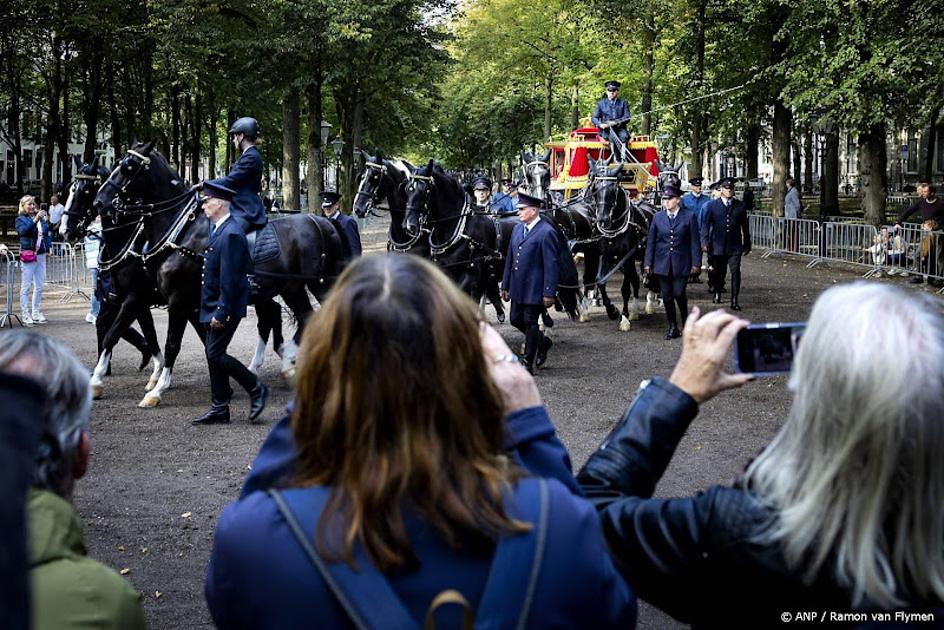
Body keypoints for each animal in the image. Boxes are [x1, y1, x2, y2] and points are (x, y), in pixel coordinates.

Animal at [89, 142, 342, 410]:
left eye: (129, 166)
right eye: (116, 163)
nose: (100, 201)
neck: (179, 232)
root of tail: (320, 221)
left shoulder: (174, 300)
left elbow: (171, 344)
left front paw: (157, 390)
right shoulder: (155, 299)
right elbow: (114, 334)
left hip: (312, 285)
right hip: (290, 288)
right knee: (298, 317)